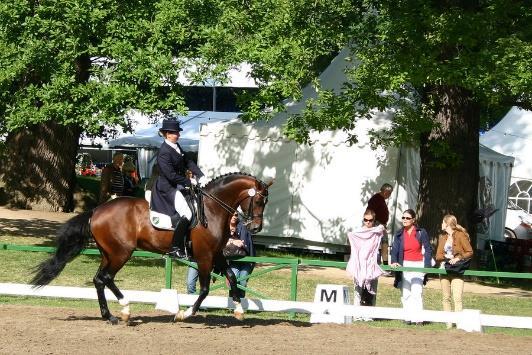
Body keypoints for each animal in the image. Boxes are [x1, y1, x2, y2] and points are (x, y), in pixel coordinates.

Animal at [31, 173, 272, 326]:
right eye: (260, 201)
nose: (255, 228)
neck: (213, 209)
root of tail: (97, 211)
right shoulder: (205, 257)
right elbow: (204, 290)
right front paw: (184, 314)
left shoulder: (217, 254)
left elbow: (232, 277)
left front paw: (239, 310)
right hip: (120, 253)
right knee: (106, 278)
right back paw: (125, 309)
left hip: (108, 253)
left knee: (99, 279)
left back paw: (112, 316)